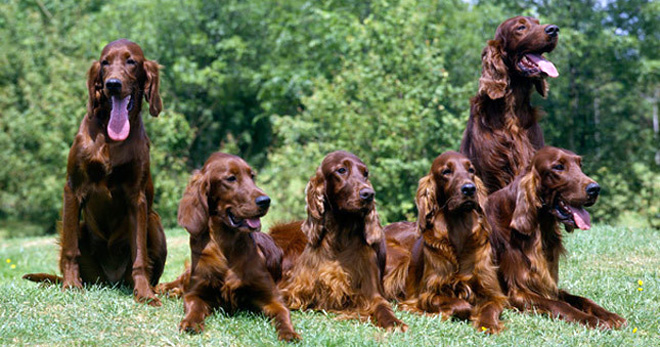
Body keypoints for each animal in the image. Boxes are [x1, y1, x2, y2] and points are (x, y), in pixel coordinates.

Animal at [23, 39, 168, 308]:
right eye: (105, 63)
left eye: (131, 61)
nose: (113, 84)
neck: (111, 139)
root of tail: (111, 281)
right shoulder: (73, 188)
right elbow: (70, 249)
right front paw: (71, 285)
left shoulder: (137, 198)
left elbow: (140, 255)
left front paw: (144, 293)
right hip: (83, 230)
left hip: (154, 221)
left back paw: (155, 288)